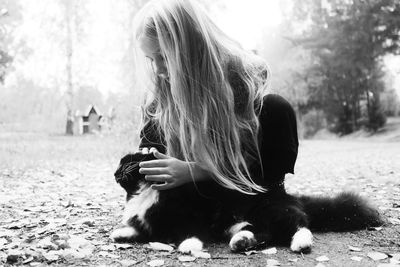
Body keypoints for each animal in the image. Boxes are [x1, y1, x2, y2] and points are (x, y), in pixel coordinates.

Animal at [111, 152, 382, 254]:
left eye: (125, 164)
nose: (114, 173)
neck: (144, 193)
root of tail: (286, 195)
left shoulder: (189, 218)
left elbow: (190, 233)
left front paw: (188, 246)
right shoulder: (149, 222)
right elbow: (137, 228)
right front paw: (120, 233)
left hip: (272, 212)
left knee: (299, 226)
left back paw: (300, 244)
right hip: (243, 222)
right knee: (264, 234)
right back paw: (242, 241)